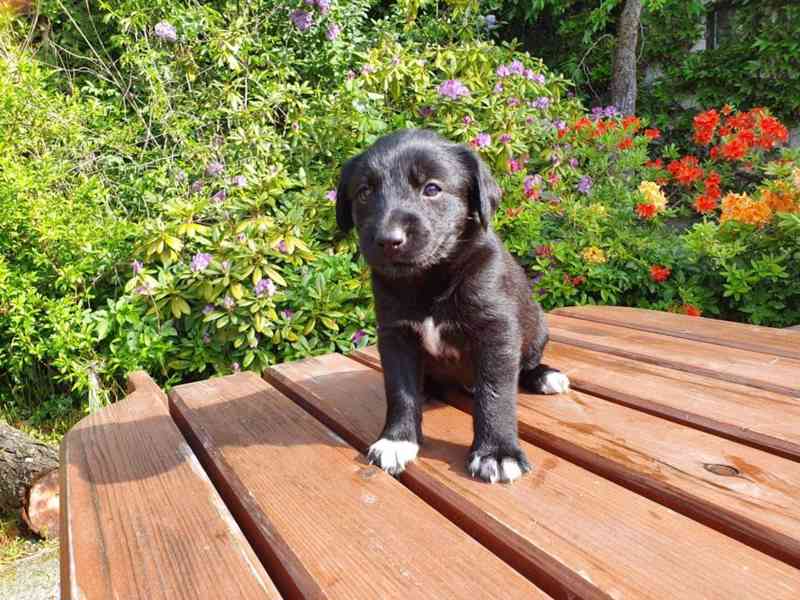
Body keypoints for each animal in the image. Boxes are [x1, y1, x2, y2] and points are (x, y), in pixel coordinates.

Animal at [336, 127, 568, 482]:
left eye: (432, 188)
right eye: (364, 192)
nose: (388, 240)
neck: (429, 279)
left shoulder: (496, 330)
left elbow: (496, 394)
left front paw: (497, 452)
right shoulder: (396, 335)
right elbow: (399, 390)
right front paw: (398, 440)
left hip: (537, 329)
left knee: (526, 365)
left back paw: (543, 376)